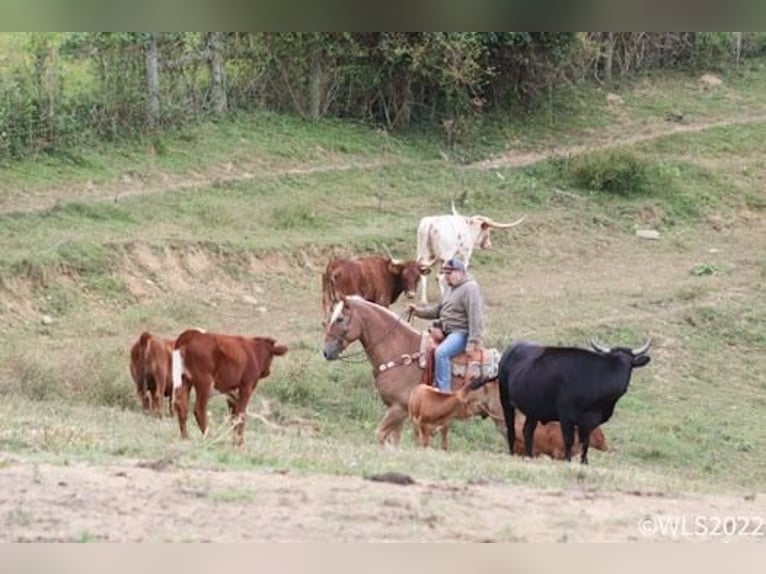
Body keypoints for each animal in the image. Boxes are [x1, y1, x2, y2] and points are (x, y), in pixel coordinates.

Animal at [320, 296, 500, 450]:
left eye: (340, 319)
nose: (326, 352)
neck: (400, 352)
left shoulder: (398, 409)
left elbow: (380, 435)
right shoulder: (400, 413)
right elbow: (394, 441)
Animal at [484, 340, 652, 466]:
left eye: (629, 363)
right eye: (614, 362)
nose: (620, 383)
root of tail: (511, 349)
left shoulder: (589, 421)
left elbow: (585, 442)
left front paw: (584, 462)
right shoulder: (566, 416)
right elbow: (569, 440)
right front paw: (568, 460)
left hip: (533, 410)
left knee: (527, 431)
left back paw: (530, 456)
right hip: (506, 401)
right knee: (511, 429)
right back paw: (512, 453)